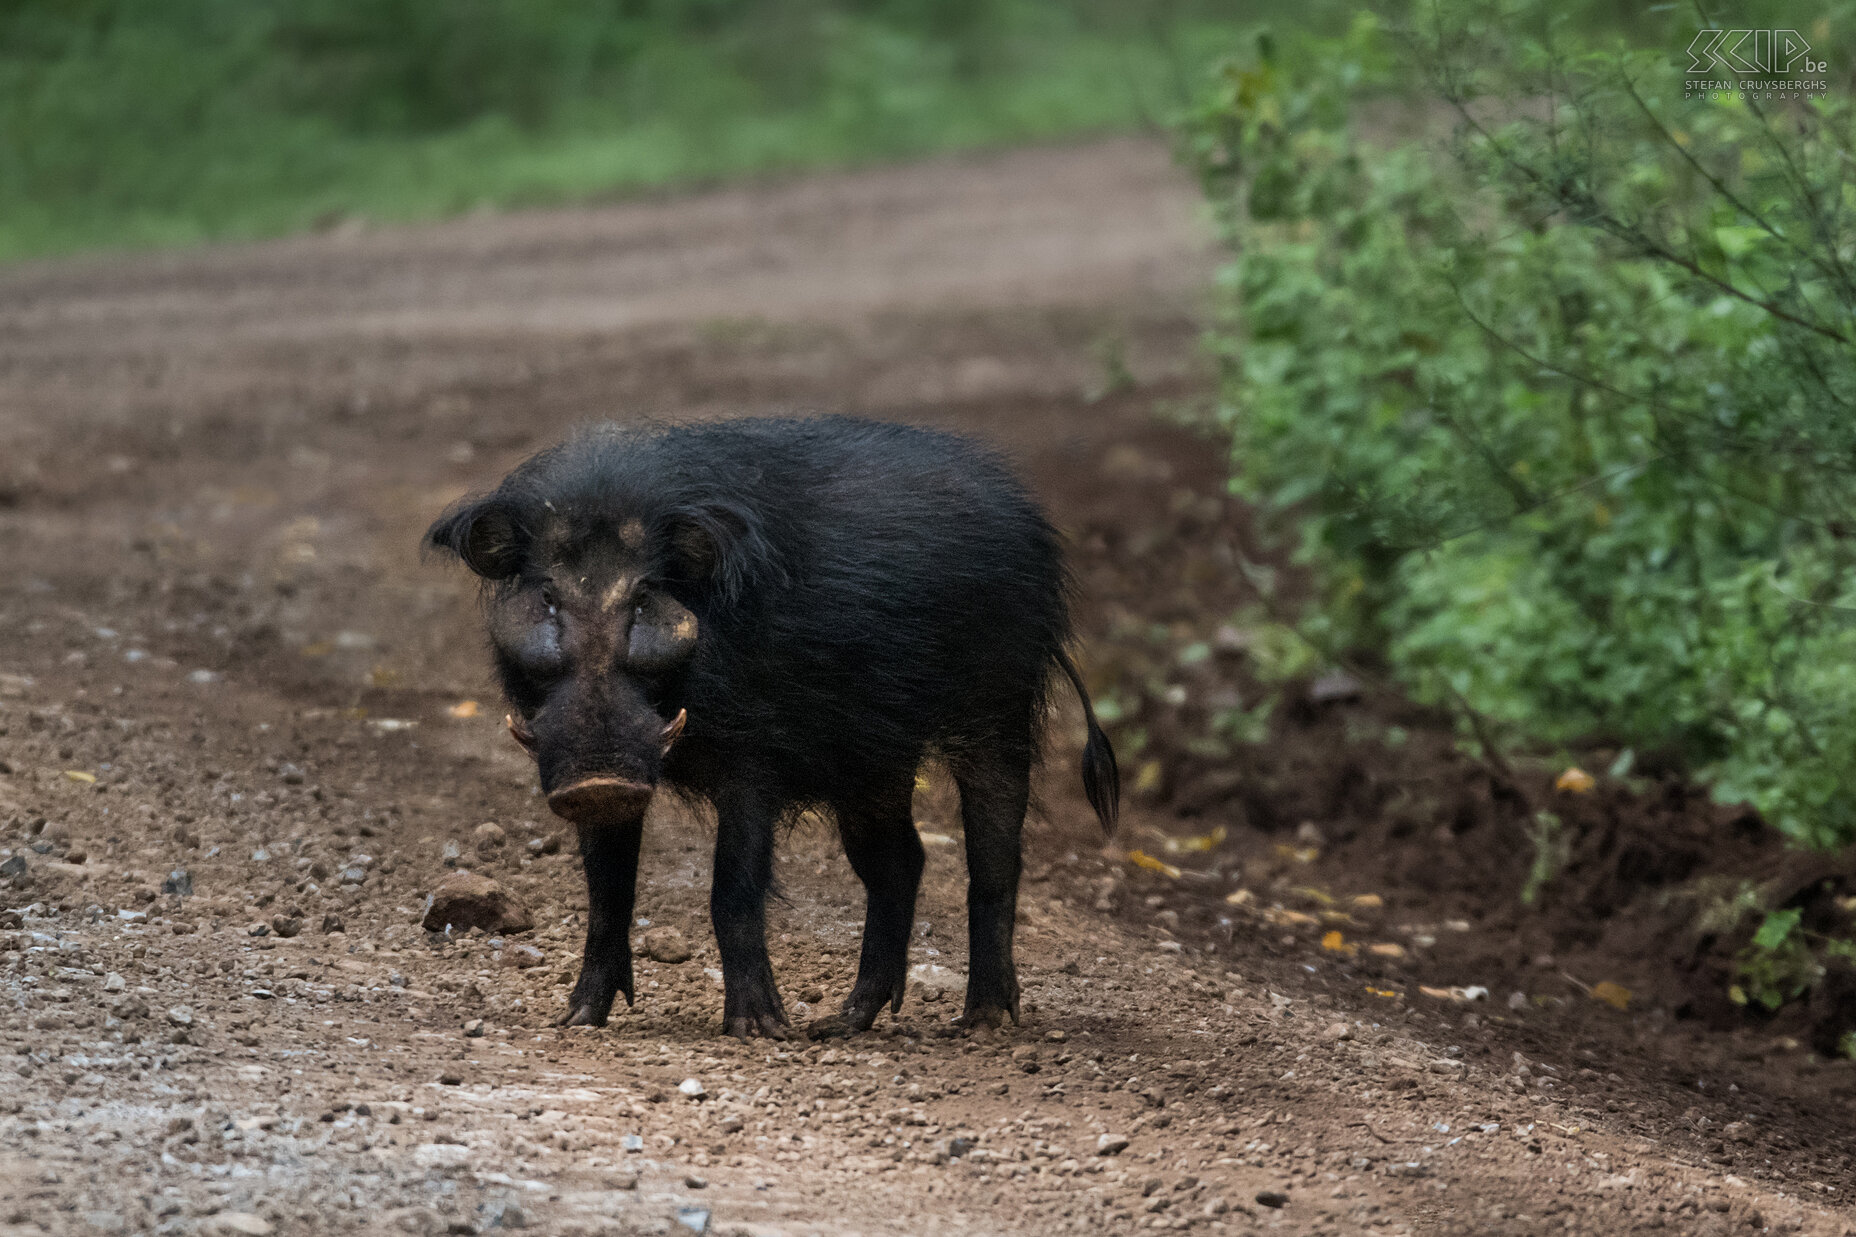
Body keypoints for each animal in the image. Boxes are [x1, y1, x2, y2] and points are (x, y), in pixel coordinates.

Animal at [426, 419, 1121, 1032]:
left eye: (645, 596)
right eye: (547, 596)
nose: (599, 779)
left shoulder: (752, 764)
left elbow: (732, 891)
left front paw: (760, 1029)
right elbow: (606, 892)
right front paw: (574, 1021)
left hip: (998, 708)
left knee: (994, 861)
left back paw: (979, 1024)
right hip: (874, 765)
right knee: (900, 861)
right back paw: (842, 1024)